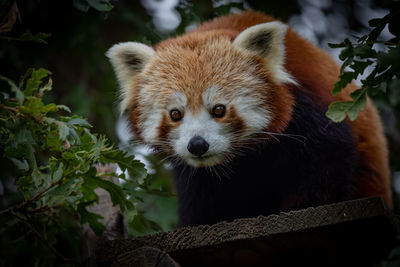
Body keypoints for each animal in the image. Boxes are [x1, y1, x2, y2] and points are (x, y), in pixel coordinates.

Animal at [106, 11, 390, 228]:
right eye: (175, 114)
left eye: (219, 110)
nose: (197, 145)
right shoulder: (197, 178)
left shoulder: (313, 114)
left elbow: (326, 168)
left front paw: (302, 207)